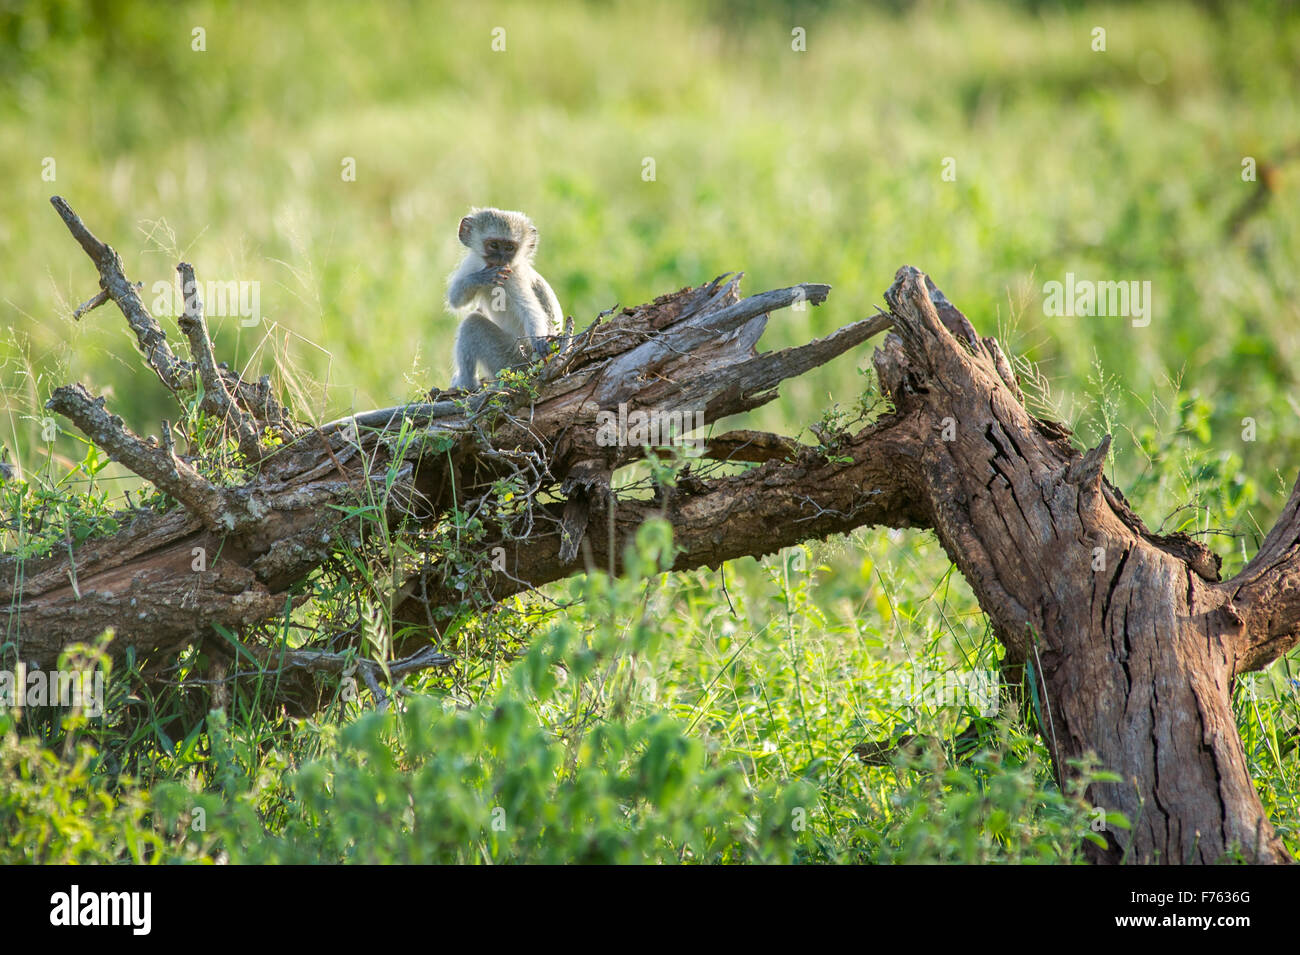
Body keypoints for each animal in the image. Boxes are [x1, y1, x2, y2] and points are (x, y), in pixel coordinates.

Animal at [444, 207, 561, 389]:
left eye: (509, 248)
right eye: (493, 245)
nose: (500, 259)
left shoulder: (514, 277)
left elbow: (529, 309)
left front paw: (539, 340)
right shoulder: (473, 263)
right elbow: (456, 298)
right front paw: (481, 278)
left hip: (511, 360)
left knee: (472, 324)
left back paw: (466, 383)